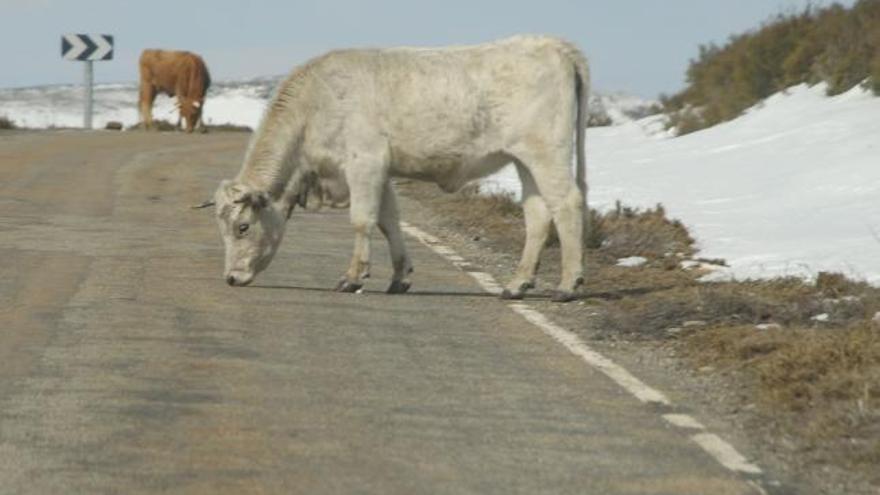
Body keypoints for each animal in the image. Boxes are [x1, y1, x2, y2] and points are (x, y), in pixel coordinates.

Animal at [199, 35, 592, 302]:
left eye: (242, 227)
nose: (231, 278)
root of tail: (551, 43)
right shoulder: (382, 172)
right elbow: (389, 221)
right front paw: (399, 277)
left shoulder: (365, 162)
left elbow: (362, 220)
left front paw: (353, 277)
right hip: (525, 161)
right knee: (538, 214)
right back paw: (517, 284)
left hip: (547, 153)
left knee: (567, 203)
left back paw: (568, 284)